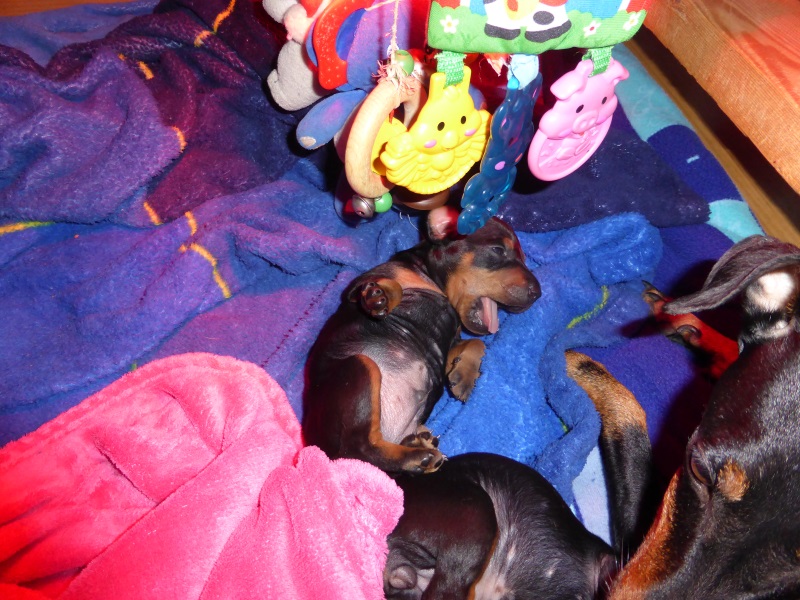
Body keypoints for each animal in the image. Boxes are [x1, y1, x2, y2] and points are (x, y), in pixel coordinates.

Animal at [303, 206, 541, 474]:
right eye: (498, 250)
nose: (537, 293)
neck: (432, 280)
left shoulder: (448, 346)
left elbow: (475, 343)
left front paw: (465, 375)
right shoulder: (358, 287)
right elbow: (391, 284)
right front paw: (380, 297)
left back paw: (418, 443)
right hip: (360, 365)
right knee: (357, 449)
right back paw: (417, 457)